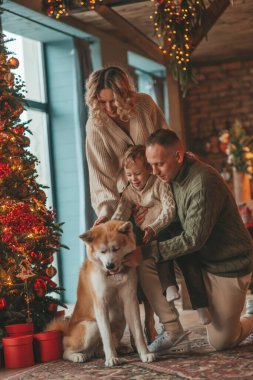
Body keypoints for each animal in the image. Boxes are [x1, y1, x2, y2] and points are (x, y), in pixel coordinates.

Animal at [49, 221, 156, 366]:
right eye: (102, 251)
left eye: (116, 248)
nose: (109, 265)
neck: (113, 276)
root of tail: (67, 331)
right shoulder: (101, 304)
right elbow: (107, 336)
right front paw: (111, 358)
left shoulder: (130, 300)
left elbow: (138, 332)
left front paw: (145, 354)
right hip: (91, 326)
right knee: (65, 351)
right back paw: (78, 356)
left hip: (121, 321)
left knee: (102, 348)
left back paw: (120, 348)